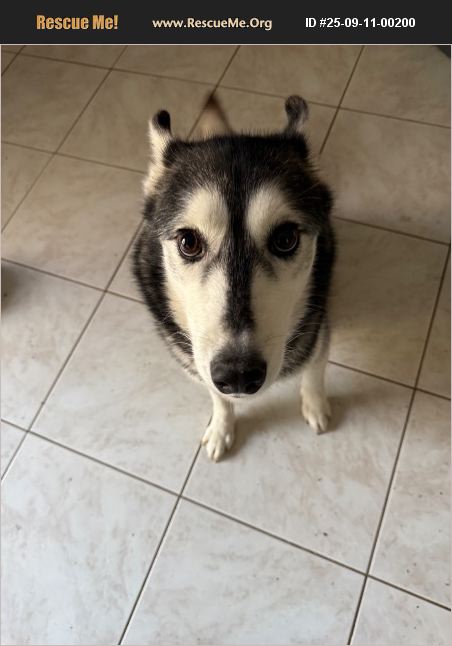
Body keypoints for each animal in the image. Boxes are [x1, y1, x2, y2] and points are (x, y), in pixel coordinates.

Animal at [133, 95, 336, 461]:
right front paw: (221, 427)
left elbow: (315, 371)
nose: (238, 375)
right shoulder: (200, 364)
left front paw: (315, 406)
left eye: (286, 238)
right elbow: (218, 397)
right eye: (188, 242)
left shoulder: (318, 329)